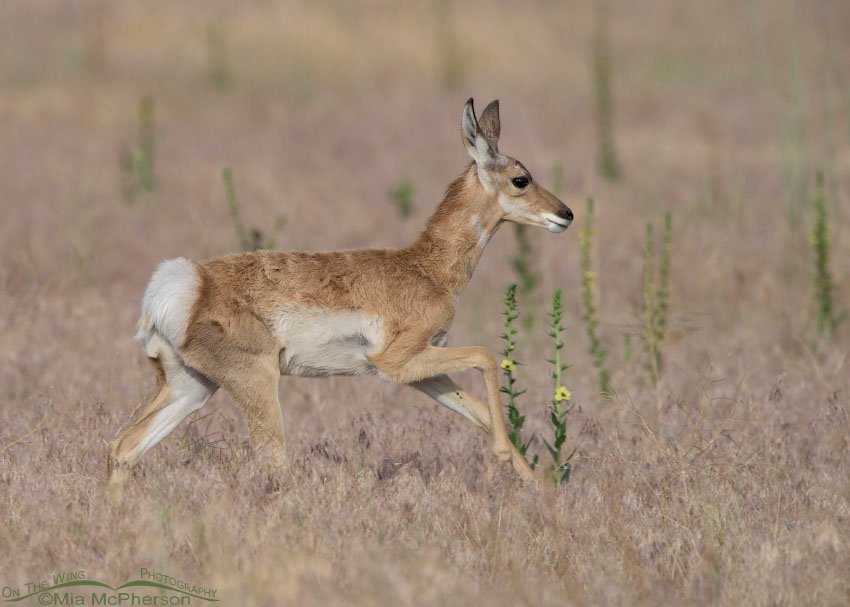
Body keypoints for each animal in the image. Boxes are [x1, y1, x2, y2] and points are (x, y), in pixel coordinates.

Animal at [107, 98, 573, 500]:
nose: (566, 214)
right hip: (256, 386)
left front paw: (541, 489)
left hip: (192, 387)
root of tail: (187, 282)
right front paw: (506, 461)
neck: (425, 267)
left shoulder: (422, 371)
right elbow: (486, 357)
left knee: (123, 445)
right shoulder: (395, 363)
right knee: (272, 463)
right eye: (520, 179)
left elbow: (476, 411)